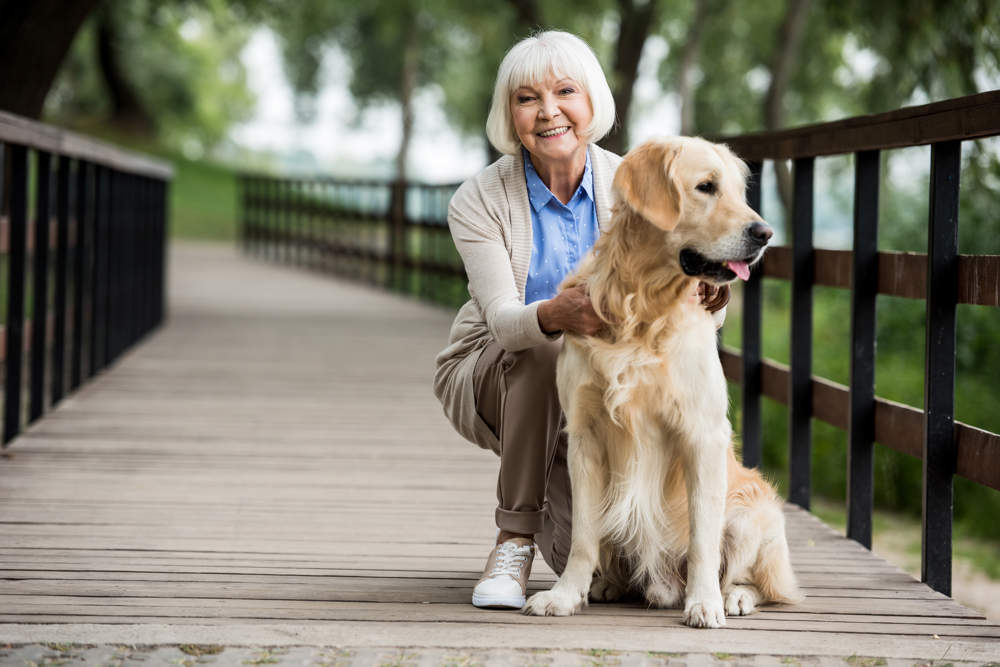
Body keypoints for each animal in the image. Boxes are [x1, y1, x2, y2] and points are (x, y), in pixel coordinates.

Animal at [520, 138, 800, 628]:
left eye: (739, 190)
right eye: (706, 187)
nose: (765, 234)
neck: (642, 304)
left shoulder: (702, 434)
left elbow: (703, 536)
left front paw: (703, 602)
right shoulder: (585, 436)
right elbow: (584, 537)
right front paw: (565, 595)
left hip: (752, 512)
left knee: (762, 583)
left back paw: (732, 596)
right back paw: (608, 585)